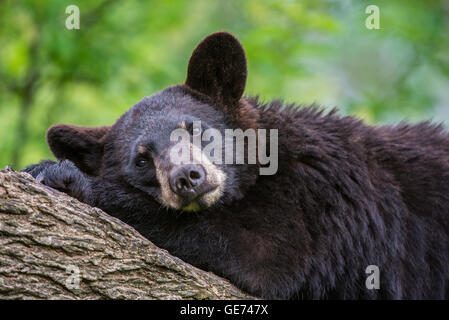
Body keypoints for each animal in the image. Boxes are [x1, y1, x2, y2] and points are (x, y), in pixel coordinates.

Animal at [23, 31, 448, 298]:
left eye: (195, 128)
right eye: (142, 159)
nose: (188, 178)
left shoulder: (317, 194)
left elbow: (263, 252)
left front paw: (60, 173)